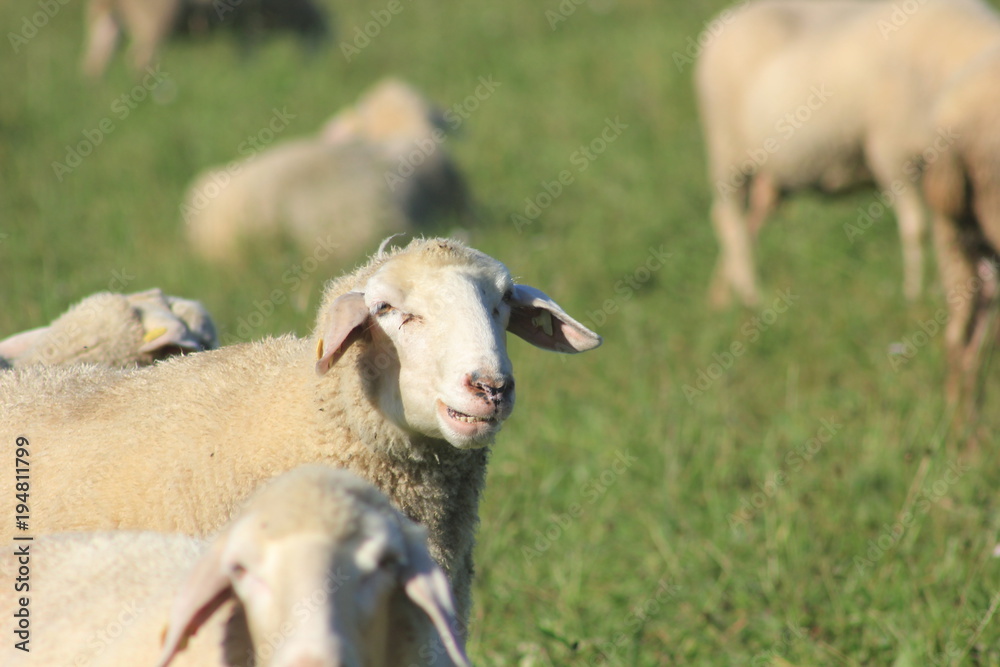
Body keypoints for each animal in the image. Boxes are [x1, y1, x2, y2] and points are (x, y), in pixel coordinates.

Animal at [81, 0, 329, 78]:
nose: (311, 74)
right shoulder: (252, 22)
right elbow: (249, 52)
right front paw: (248, 76)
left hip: (106, 17)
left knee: (95, 61)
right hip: (154, 19)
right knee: (140, 58)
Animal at [695, 0, 1000, 308]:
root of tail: (725, 21)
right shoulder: (891, 151)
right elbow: (916, 228)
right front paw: (915, 294)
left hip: (773, 175)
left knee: (747, 221)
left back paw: (722, 298)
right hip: (727, 154)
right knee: (729, 222)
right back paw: (750, 295)